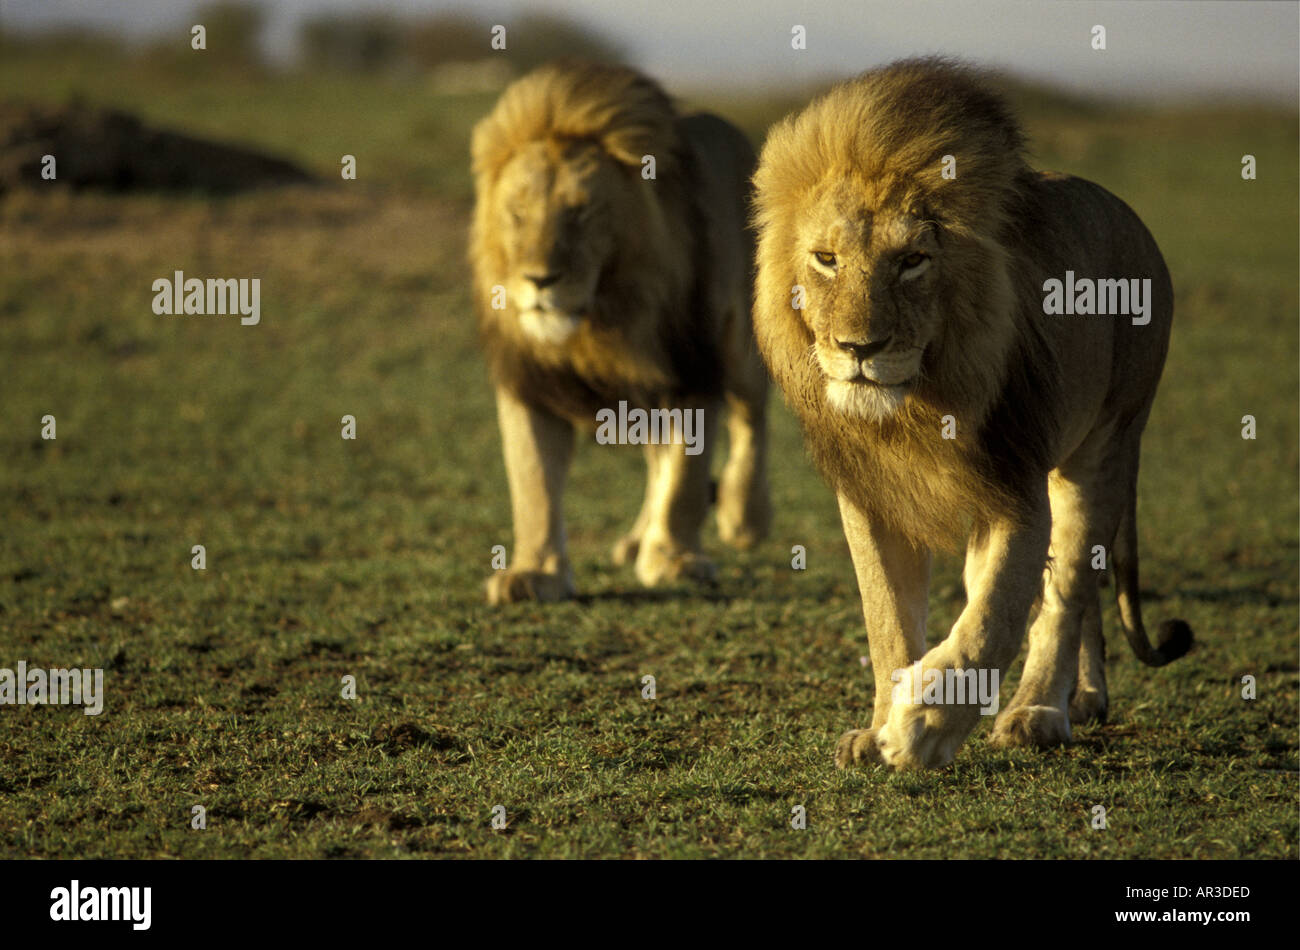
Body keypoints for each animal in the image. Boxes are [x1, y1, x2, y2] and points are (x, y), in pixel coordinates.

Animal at [470, 63, 764, 605]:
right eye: (517, 213)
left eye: (582, 212)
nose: (539, 280)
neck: (602, 321)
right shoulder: (530, 382)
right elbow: (533, 481)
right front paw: (534, 572)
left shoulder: (691, 368)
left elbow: (686, 478)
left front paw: (674, 560)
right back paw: (635, 541)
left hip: (743, 341)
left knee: (752, 419)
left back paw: (745, 519)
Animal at [748, 57, 1190, 774]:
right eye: (826, 259)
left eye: (912, 261)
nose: (859, 348)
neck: (916, 408)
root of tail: (1133, 219)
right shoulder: (873, 496)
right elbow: (887, 617)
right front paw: (880, 726)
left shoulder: (1015, 486)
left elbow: (993, 617)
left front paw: (921, 727)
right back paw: (1084, 698)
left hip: (1106, 440)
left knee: (1069, 587)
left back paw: (1039, 712)